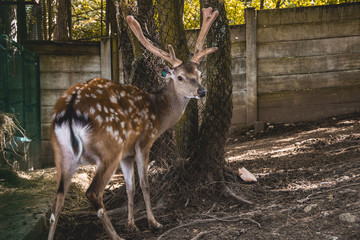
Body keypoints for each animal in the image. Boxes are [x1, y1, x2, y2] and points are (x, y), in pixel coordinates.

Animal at [48, 7, 219, 240]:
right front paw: (153, 222)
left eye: (199, 73)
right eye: (180, 77)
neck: (158, 113)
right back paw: (116, 235)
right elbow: (145, 184)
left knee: (57, 201)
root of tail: (70, 109)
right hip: (109, 147)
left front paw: (132, 224)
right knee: (93, 192)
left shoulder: (126, 154)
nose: (202, 91)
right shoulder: (143, 141)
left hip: (62, 152)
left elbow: (131, 187)